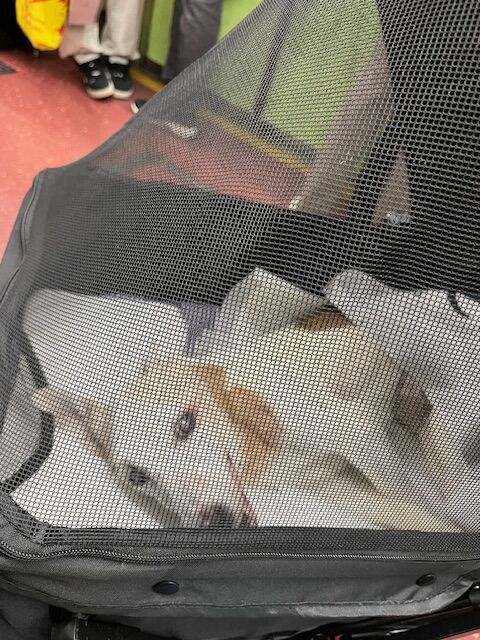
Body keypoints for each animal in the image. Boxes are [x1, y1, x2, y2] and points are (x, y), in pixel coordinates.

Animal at [31, 303, 458, 532]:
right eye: (137, 476)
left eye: (185, 424)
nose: (216, 522)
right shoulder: (337, 487)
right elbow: (409, 514)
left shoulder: (358, 434)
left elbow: (411, 497)